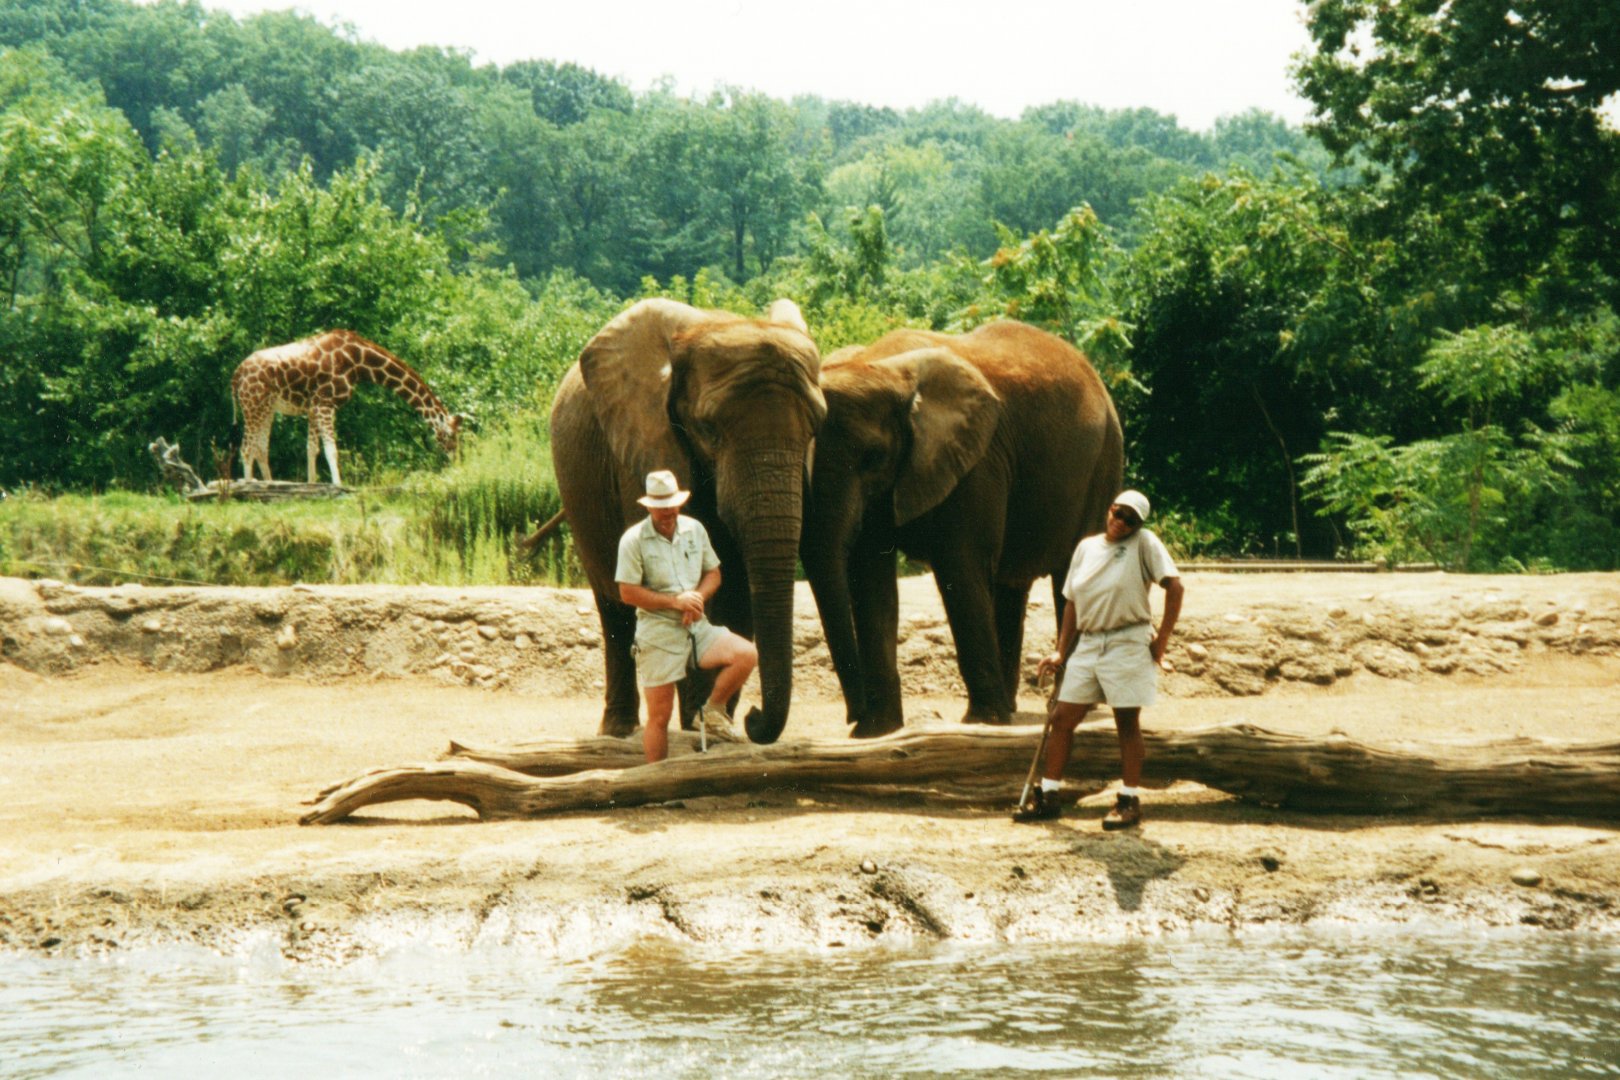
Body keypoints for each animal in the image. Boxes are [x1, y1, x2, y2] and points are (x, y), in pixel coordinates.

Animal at [231, 330, 462, 486]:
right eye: (450, 435)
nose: (455, 460)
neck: (359, 361)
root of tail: (236, 375)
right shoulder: (325, 402)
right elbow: (331, 449)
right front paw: (338, 485)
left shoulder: (313, 407)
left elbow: (311, 449)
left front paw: (312, 484)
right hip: (253, 405)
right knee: (246, 448)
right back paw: (249, 487)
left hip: (266, 408)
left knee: (260, 448)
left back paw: (269, 483)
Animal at [550, 298, 825, 744]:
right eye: (708, 429)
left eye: (816, 427)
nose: (754, 719)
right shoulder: (644, 443)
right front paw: (697, 728)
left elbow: (734, 590)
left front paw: (718, 725)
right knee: (613, 605)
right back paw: (618, 732)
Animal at [801, 320, 1123, 738]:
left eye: (873, 457)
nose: (851, 716)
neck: (884, 367)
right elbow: (871, 579)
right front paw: (877, 732)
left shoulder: (976, 460)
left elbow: (960, 567)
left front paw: (982, 721)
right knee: (1010, 585)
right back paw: (1013, 707)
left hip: (1105, 458)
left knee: (1072, 571)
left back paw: (1063, 705)